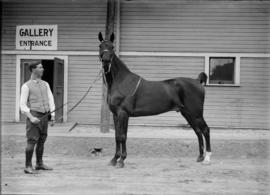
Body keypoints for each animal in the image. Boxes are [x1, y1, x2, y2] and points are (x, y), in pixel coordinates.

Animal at [98, 32, 212, 168]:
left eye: (112, 47)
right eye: (100, 46)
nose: (105, 62)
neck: (121, 82)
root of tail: (197, 81)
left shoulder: (123, 114)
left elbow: (123, 136)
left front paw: (121, 160)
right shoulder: (116, 114)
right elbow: (116, 136)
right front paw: (114, 159)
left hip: (196, 114)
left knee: (205, 130)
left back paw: (207, 158)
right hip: (188, 114)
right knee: (198, 132)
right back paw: (200, 157)